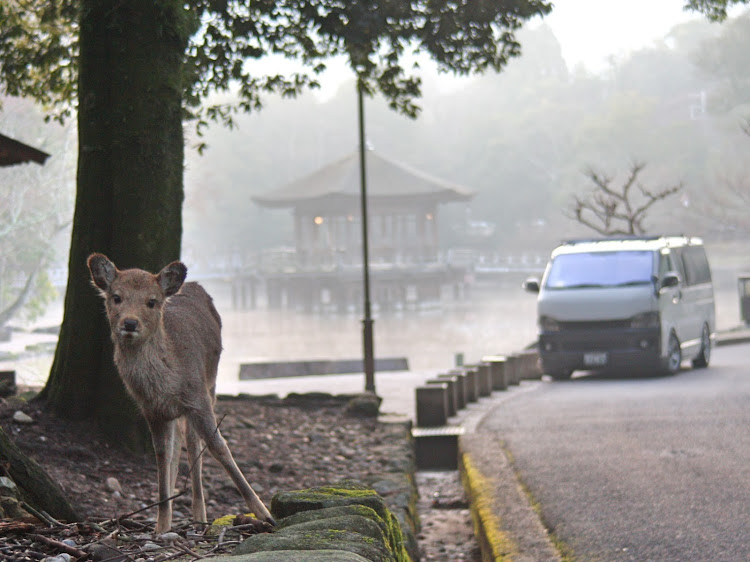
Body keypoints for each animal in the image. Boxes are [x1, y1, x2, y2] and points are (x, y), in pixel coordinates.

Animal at [87, 252, 276, 532]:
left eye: (152, 301)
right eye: (116, 297)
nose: (130, 323)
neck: (167, 384)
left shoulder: (197, 397)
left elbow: (218, 446)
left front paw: (265, 514)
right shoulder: (151, 410)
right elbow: (162, 456)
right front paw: (161, 525)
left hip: (211, 382)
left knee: (194, 443)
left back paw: (200, 515)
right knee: (178, 446)